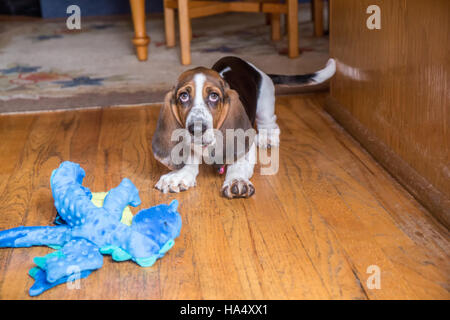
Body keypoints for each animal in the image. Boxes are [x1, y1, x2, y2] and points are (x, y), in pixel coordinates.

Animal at [153, 56, 336, 199]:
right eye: (183, 96)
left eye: (214, 96)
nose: (196, 128)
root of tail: (258, 71)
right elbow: (190, 159)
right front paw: (178, 176)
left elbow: (239, 165)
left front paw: (237, 180)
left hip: (265, 105)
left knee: (270, 123)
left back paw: (267, 138)